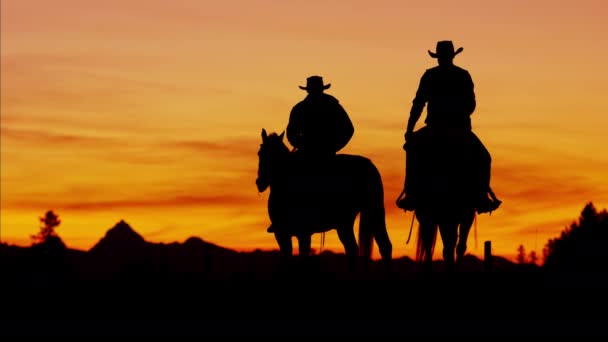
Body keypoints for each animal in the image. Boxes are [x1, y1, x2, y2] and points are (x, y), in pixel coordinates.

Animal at [254, 128, 392, 272]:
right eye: (260, 153)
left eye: (276, 157)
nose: (260, 182)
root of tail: (369, 165)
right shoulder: (281, 234)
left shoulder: (303, 234)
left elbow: (303, 260)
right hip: (345, 223)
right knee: (354, 248)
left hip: (374, 211)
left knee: (383, 246)